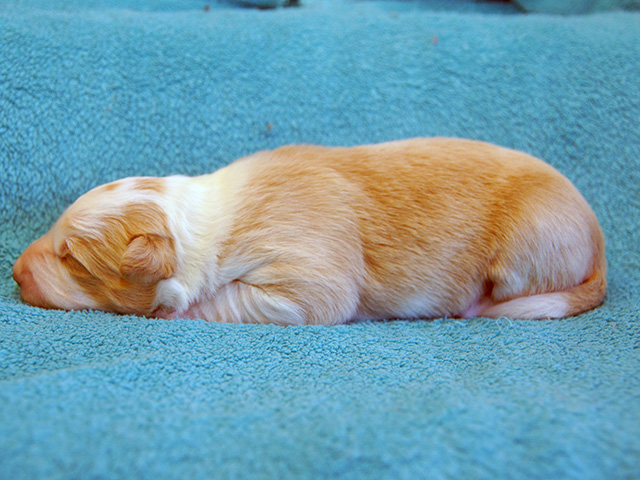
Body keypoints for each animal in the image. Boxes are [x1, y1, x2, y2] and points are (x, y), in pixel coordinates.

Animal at [13, 138, 606, 325]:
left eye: (72, 259)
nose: (14, 272)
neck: (202, 222)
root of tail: (599, 239)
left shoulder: (302, 276)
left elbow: (236, 300)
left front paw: (179, 311)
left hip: (527, 245)